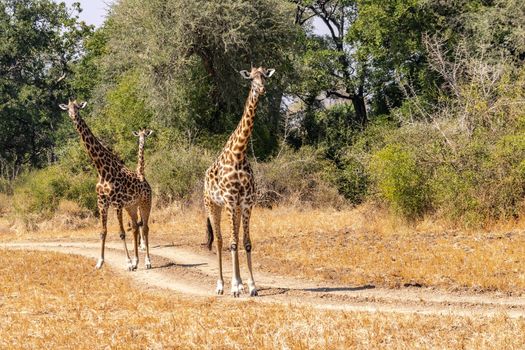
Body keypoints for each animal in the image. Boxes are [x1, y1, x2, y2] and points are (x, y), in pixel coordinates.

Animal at [60, 101, 154, 270]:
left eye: (78, 107)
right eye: (68, 108)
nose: (73, 116)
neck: (102, 170)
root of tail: (145, 181)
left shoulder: (117, 203)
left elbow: (121, 233)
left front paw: (128, 262)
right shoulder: (102, 203)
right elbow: (103, 232)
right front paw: (100, 262)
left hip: (145, 203)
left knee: (145, 227)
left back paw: (148, 262)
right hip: (131, 206)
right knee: (136, 227)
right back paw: (137, 262)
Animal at [203, 66, 274, 298]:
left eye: (265, 76)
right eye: (251, 79)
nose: (261, 90)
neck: (239, 153)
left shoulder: (246, 203)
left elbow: (246, 243)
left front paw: (251, 286)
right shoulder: (230, 200)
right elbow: (232, 243)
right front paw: (234, 287)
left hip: (232, 208)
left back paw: (240, 283)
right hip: (213, 205)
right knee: (220, 240)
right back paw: (221, 285)